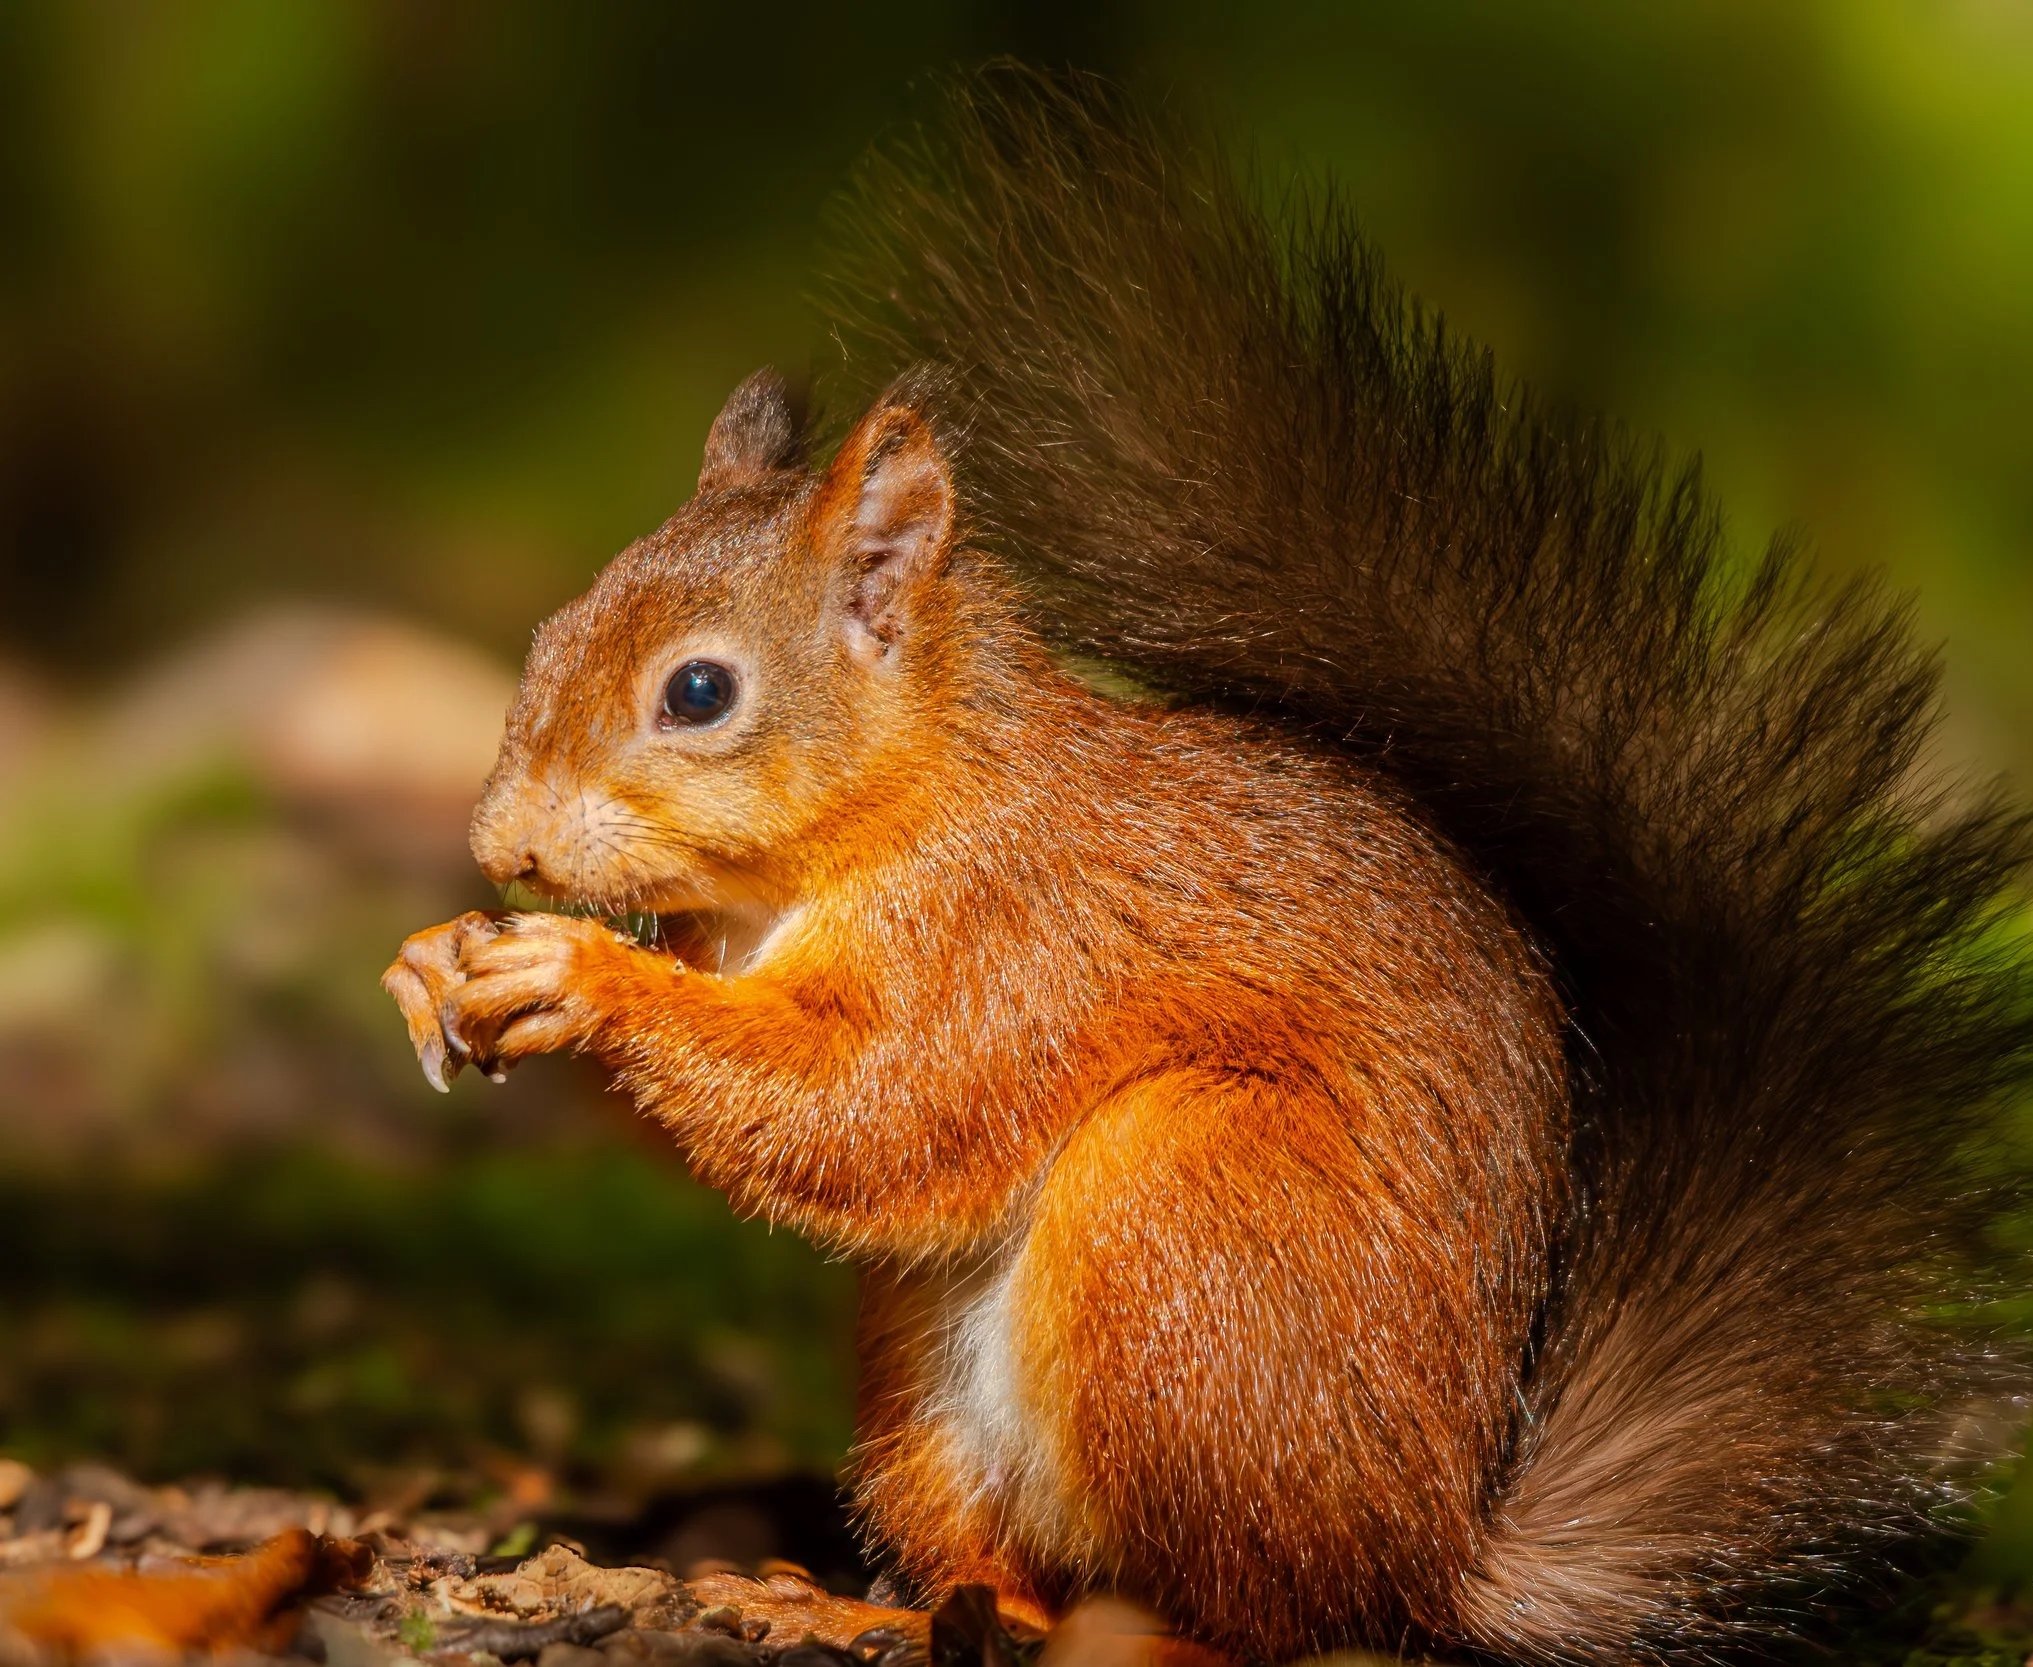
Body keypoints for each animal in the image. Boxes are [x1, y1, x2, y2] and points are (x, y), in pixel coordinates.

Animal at [383, 69, 2033, 1665]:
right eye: (548, 632)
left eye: (699, 692)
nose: (501, 841)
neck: (877, 824)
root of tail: (1433, 1552)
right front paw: (436, 960)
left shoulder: (1021, 938)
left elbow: (870, 1110)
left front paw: (581, 974)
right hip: (927, 1390)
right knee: (1013, 1576)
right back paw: (848, 1604)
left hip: (1186, 1224)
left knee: (1259, 1617)